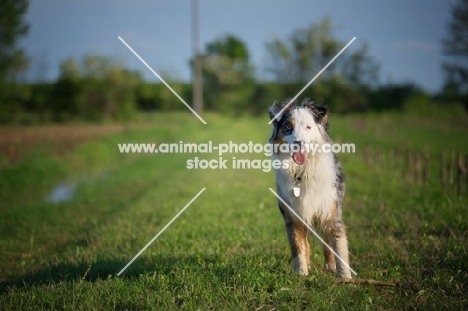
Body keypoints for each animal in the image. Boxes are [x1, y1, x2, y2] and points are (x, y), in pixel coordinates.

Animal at [266, 98, 352, 280]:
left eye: (308, 127)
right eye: (288, 127)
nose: (299, 143)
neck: (302, 171)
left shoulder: (331, 212)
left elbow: (337, 243)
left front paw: (345, 277)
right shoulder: (292, 215)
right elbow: (298, 246)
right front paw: (302, 274)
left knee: (327, 241)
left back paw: (330, 266)